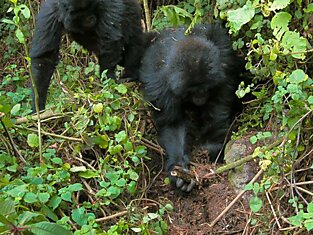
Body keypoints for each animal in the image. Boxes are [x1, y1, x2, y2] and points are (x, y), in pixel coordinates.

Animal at [139, 23, 241, 193]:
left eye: (205, 88)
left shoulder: (223, 66)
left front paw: (211, 149)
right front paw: (179, 166)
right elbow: (173, 124)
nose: (200, 97)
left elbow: (217, 108)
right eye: (192, 91)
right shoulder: (161, 85)